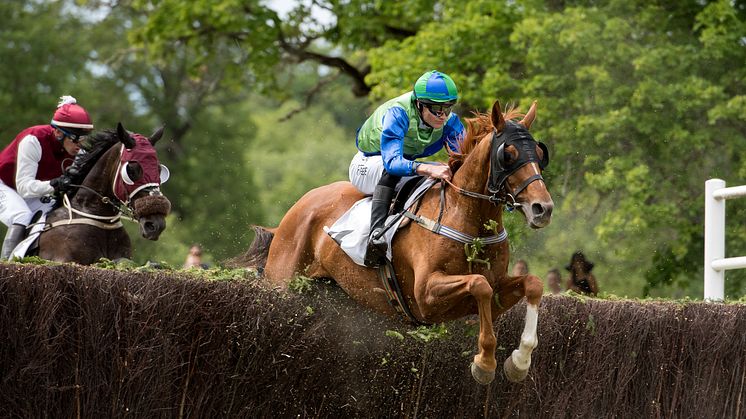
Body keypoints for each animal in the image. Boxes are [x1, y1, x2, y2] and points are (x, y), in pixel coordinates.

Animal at [232, 100, 552, 386]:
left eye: (539, 152)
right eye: (507, 154)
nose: (543, 209)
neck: (464, 216)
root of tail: (296, 209)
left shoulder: (494, 291)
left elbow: (532, 284)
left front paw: (519, 362)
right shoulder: (425, 295)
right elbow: (479, 284)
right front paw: (484, 363)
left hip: (332, 294)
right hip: (283, 283)